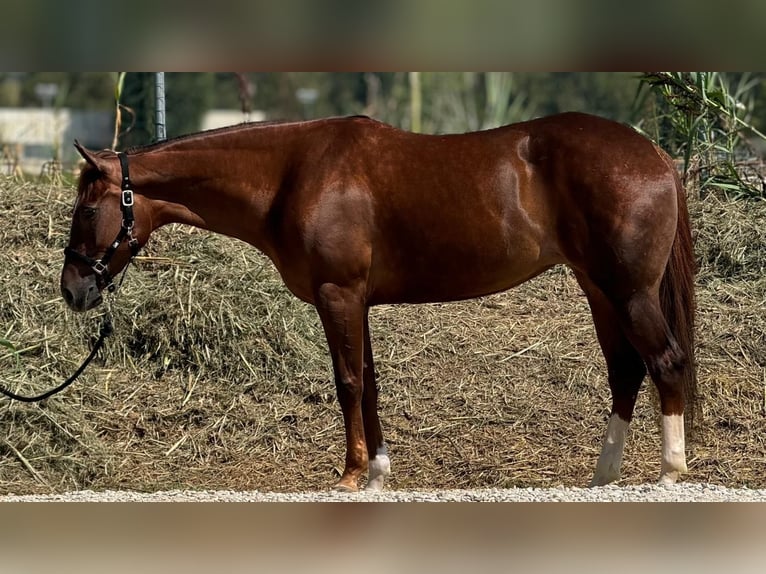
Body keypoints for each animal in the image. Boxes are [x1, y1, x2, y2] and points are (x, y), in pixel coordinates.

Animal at [61, 113, 696, 496]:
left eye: (88, 209)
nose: (73, 289)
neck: (293, 173)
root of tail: (656, 155)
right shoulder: (357, 302)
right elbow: (368, 382)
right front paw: (377, 474)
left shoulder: (337, 295)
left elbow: (346, 382)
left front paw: (349, 475)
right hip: (599, 291)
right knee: (626, 371)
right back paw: (604, 475)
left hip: (629, 293)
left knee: (665, 362)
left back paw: (670, 472)